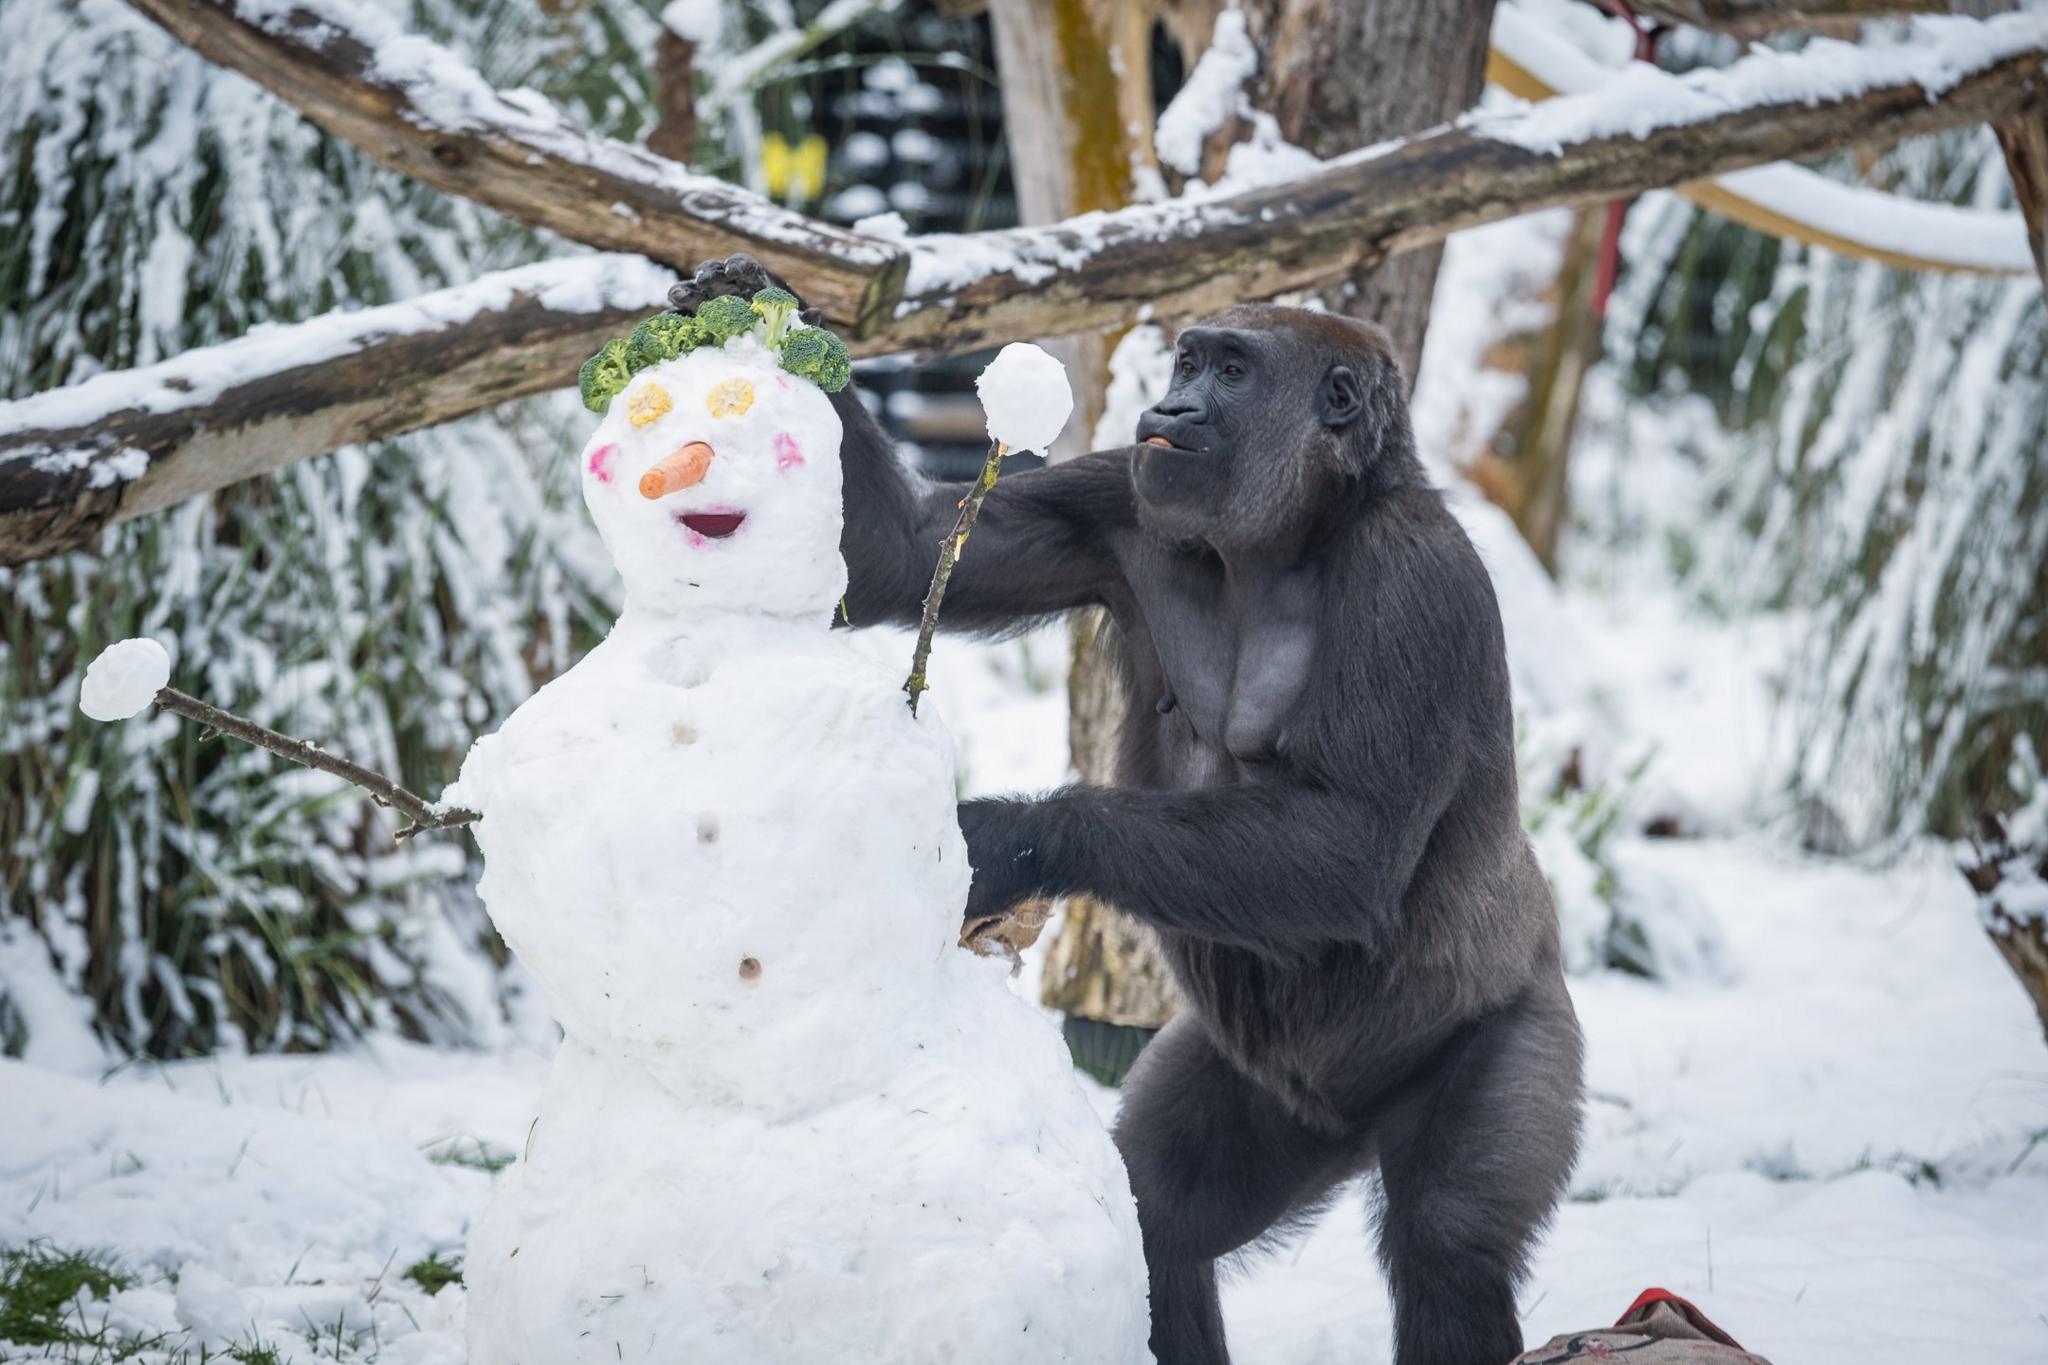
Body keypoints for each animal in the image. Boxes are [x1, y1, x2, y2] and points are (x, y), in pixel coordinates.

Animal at [671, 258, 1581, 1365]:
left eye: (1231, 371)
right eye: (1188, 362)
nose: (1173, 403)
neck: (1298, 532)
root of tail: (1346, 1123)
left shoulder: (1415, 584)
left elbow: (1354, 844)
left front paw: (1014, 839)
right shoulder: (1113, 497)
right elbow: (904, 549)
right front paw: (762, 301)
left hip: (1511, 1027)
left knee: (1450, 1243)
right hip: (1264, 1095)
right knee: (1157, 1214)